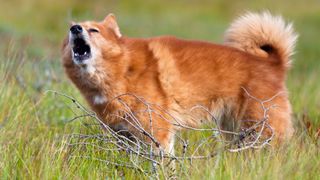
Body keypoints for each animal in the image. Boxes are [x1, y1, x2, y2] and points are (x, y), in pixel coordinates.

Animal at [62, 11, 298, 154]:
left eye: (94, 30)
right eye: (72, 30)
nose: (75, 29)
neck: (123, 69)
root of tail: (273, 64)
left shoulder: (158, 134)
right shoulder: (124, 136)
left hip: (263, 131)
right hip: (235, 131)